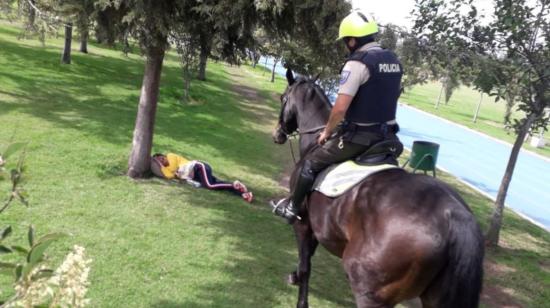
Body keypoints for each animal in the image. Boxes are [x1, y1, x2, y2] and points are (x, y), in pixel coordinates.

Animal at [274, 70, 486, 308]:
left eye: (283, 97)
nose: (278, 134)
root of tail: (453, 215)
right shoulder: (316, 227)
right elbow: (308, 256)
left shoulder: (302, 223)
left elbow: (305, 266)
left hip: (369, 289)